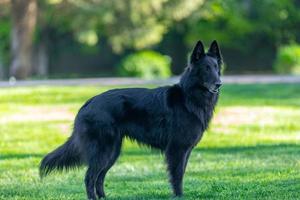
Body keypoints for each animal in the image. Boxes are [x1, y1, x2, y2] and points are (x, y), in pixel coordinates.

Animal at [39, 39, 223, 199]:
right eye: (206, 68)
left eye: (216, 68)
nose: (219, 83)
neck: (188, 97)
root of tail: (88, 103)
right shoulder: (177, 150)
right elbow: (177, 176)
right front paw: (178, 196)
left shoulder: (185, 150)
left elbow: (181, 173)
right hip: (104, 151)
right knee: (90, 176)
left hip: (113, 152)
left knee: (99, 177)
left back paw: (104, 197)